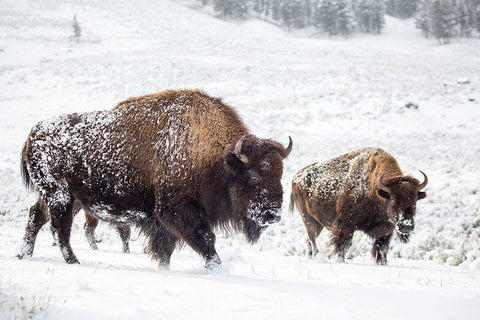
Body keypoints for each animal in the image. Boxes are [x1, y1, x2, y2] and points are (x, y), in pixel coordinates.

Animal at [18, 89, 292, 268]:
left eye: (280, 174)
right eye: (253, 176)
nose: (272, 214)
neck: (212, 156)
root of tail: (34, 131)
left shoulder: (164, 222)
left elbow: (166, 250)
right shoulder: (178, 212)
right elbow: (205, 240)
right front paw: (215, 268)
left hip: (68, 198)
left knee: (36, 218)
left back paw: (24, 256)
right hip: (60, 196)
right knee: (59, 229)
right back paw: (73, 262)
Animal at [288, 148, 428, 264]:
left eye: (415, 201)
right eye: (393, 199)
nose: (406, 226)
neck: (376, 190)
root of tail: (296, 177)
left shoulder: (386, 229)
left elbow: (381, 248)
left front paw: (382, 263)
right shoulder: (346, 225)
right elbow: (344, 245)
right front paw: (340, 261)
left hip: (318, 223)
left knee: (309, 240)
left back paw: (310, 257)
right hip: (308, 219)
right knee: (312, 239)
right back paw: (319, 257)